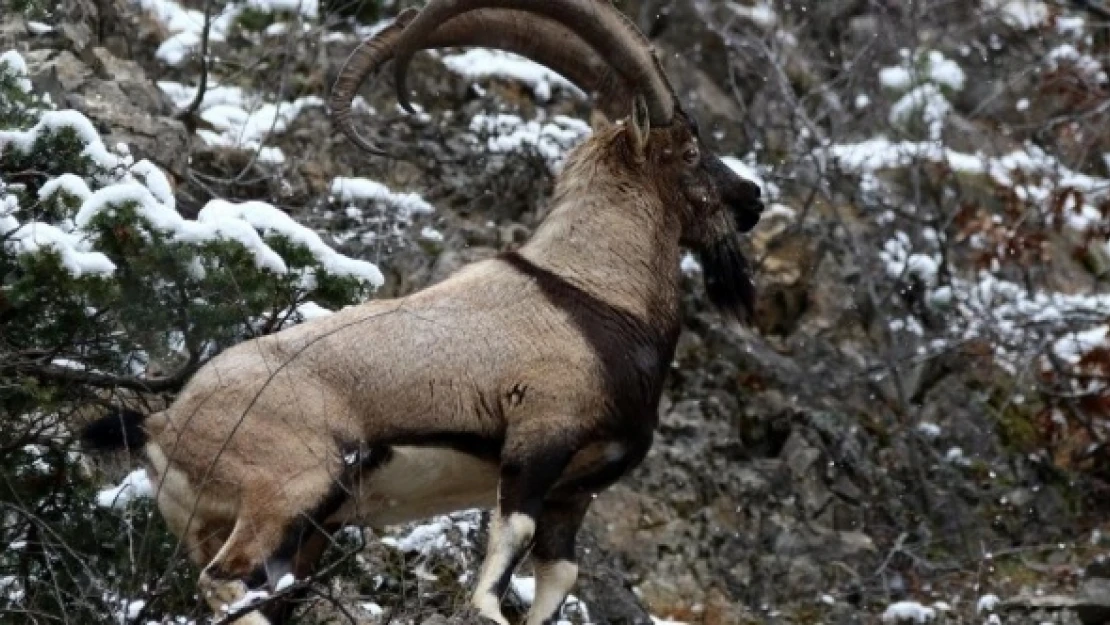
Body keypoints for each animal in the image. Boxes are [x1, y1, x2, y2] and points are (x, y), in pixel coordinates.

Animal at [82, 1, 768, 625]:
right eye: (688, 151)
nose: (752, 198)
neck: (594, 292)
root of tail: (164, 423)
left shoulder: (575, 493)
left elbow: (559, 575)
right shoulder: (539, 440)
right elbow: (508, 546)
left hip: (293, 530)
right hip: (291, 488)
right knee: (225, 582)